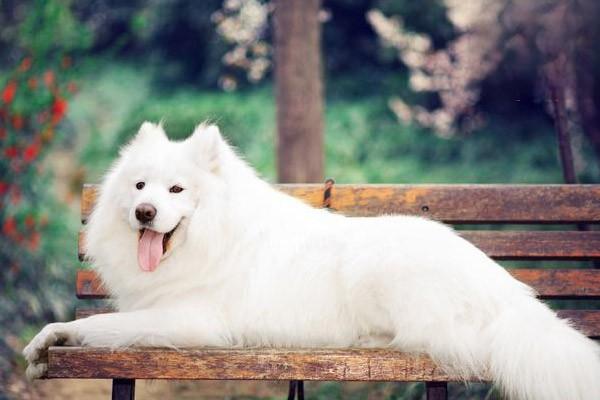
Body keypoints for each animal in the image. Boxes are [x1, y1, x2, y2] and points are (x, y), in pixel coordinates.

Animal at [25, 122, 600, 400]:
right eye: (140, 186)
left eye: (176, 190)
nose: (144, 212)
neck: (212, 237)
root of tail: (506, 292)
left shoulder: (189, 319)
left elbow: (104, 324)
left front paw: (53, 338)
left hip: (379, 270)